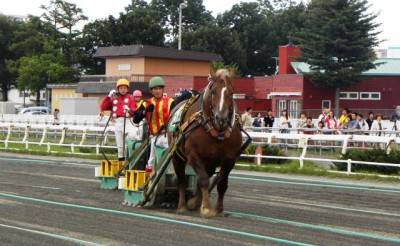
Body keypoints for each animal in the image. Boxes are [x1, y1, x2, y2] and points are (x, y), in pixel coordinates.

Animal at [171, 67, 242, 217]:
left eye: (231, 92)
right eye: (213, 91)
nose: (221, 118)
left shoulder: (230, 158)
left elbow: (222, 184)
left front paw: (218, 210)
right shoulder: (194, 154)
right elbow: (203, 180)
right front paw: (206, 208)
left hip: (211, 162)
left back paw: (195, 202)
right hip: (177, 156)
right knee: (182, 179)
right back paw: (182, 206)